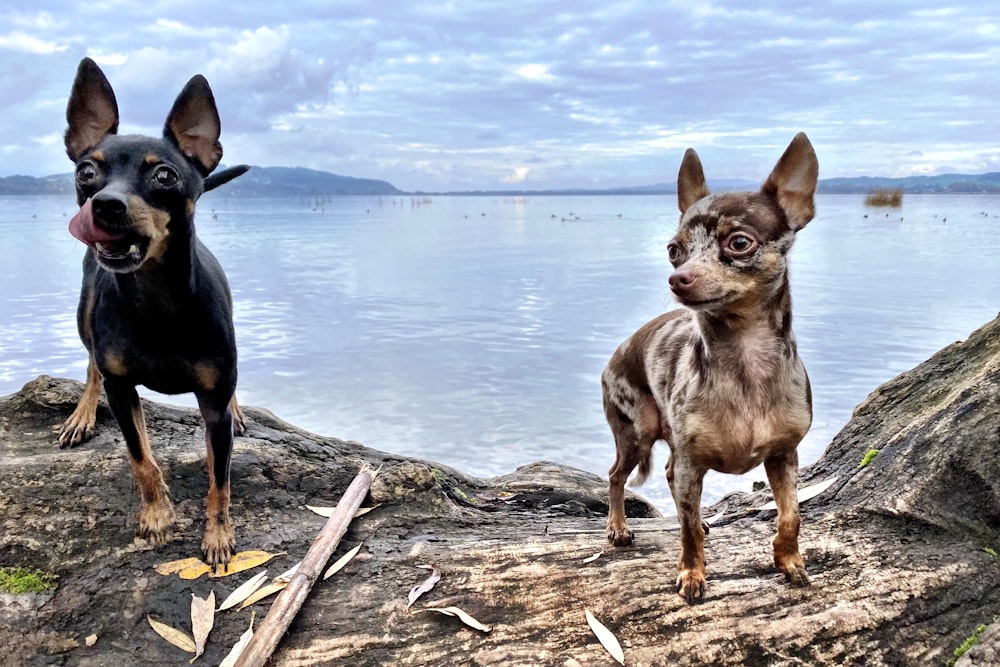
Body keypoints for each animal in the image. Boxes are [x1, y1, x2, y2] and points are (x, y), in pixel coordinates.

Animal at [59, 58, 247, 568]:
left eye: (164, 176)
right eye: (87, 171)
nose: (105, 204)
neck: (157, 299)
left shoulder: (212, 405)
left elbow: (219, 479)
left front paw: (218, 536)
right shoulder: (123, 391)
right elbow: (140, 456)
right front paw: (158, 514)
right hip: (84, 315)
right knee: (91, 365)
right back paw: (82, 414)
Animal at [600, 133, 820, 604]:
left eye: (739, 243)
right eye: (674, 251)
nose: (677, 277)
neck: (745, 362)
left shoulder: (784, 456)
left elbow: (790, 515)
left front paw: (789, 561)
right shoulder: (691, 463)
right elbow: (685, 532)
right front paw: (691, 573)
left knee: (665, 476)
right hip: (637, 432)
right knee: (616, 476)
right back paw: (618, 527)